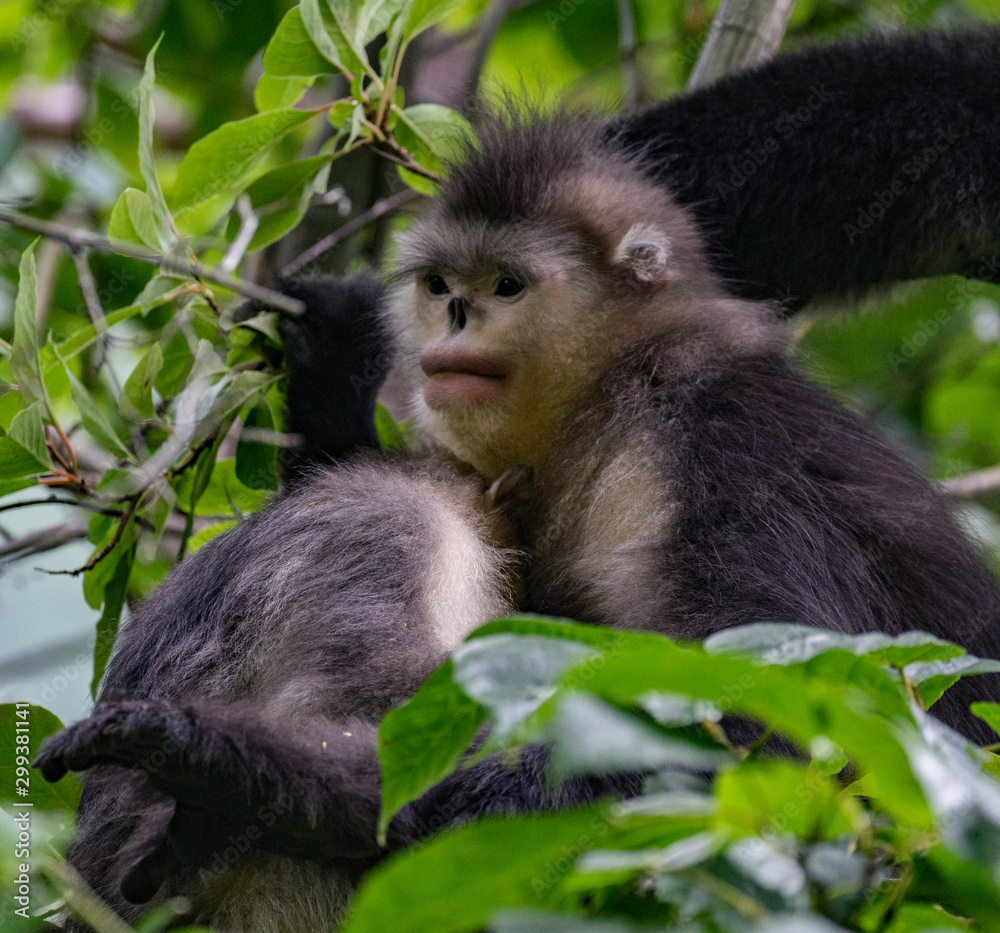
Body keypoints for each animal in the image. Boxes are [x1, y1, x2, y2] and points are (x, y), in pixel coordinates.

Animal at [35, 28, 1000, 933]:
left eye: (505, 285)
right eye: (440, 286)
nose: (457, 318)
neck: (607, 398)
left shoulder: (709, 442)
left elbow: (775, 729)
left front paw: (261, 778)